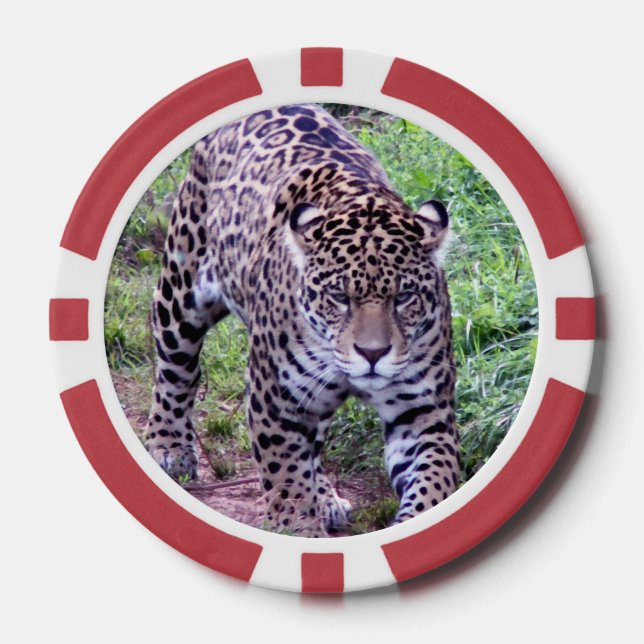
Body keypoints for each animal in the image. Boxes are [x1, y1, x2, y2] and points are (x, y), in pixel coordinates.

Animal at [143, 104, 460, 536]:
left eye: (404, 297)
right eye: (339, 298)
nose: (372, 354)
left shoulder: (424, 413)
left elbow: (433, 484)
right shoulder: (275, 399)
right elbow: (286, 479)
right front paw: (296, 530)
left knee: (313, 444)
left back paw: (325, 497)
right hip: (181, 287)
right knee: (176, 370)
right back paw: (168, 447)